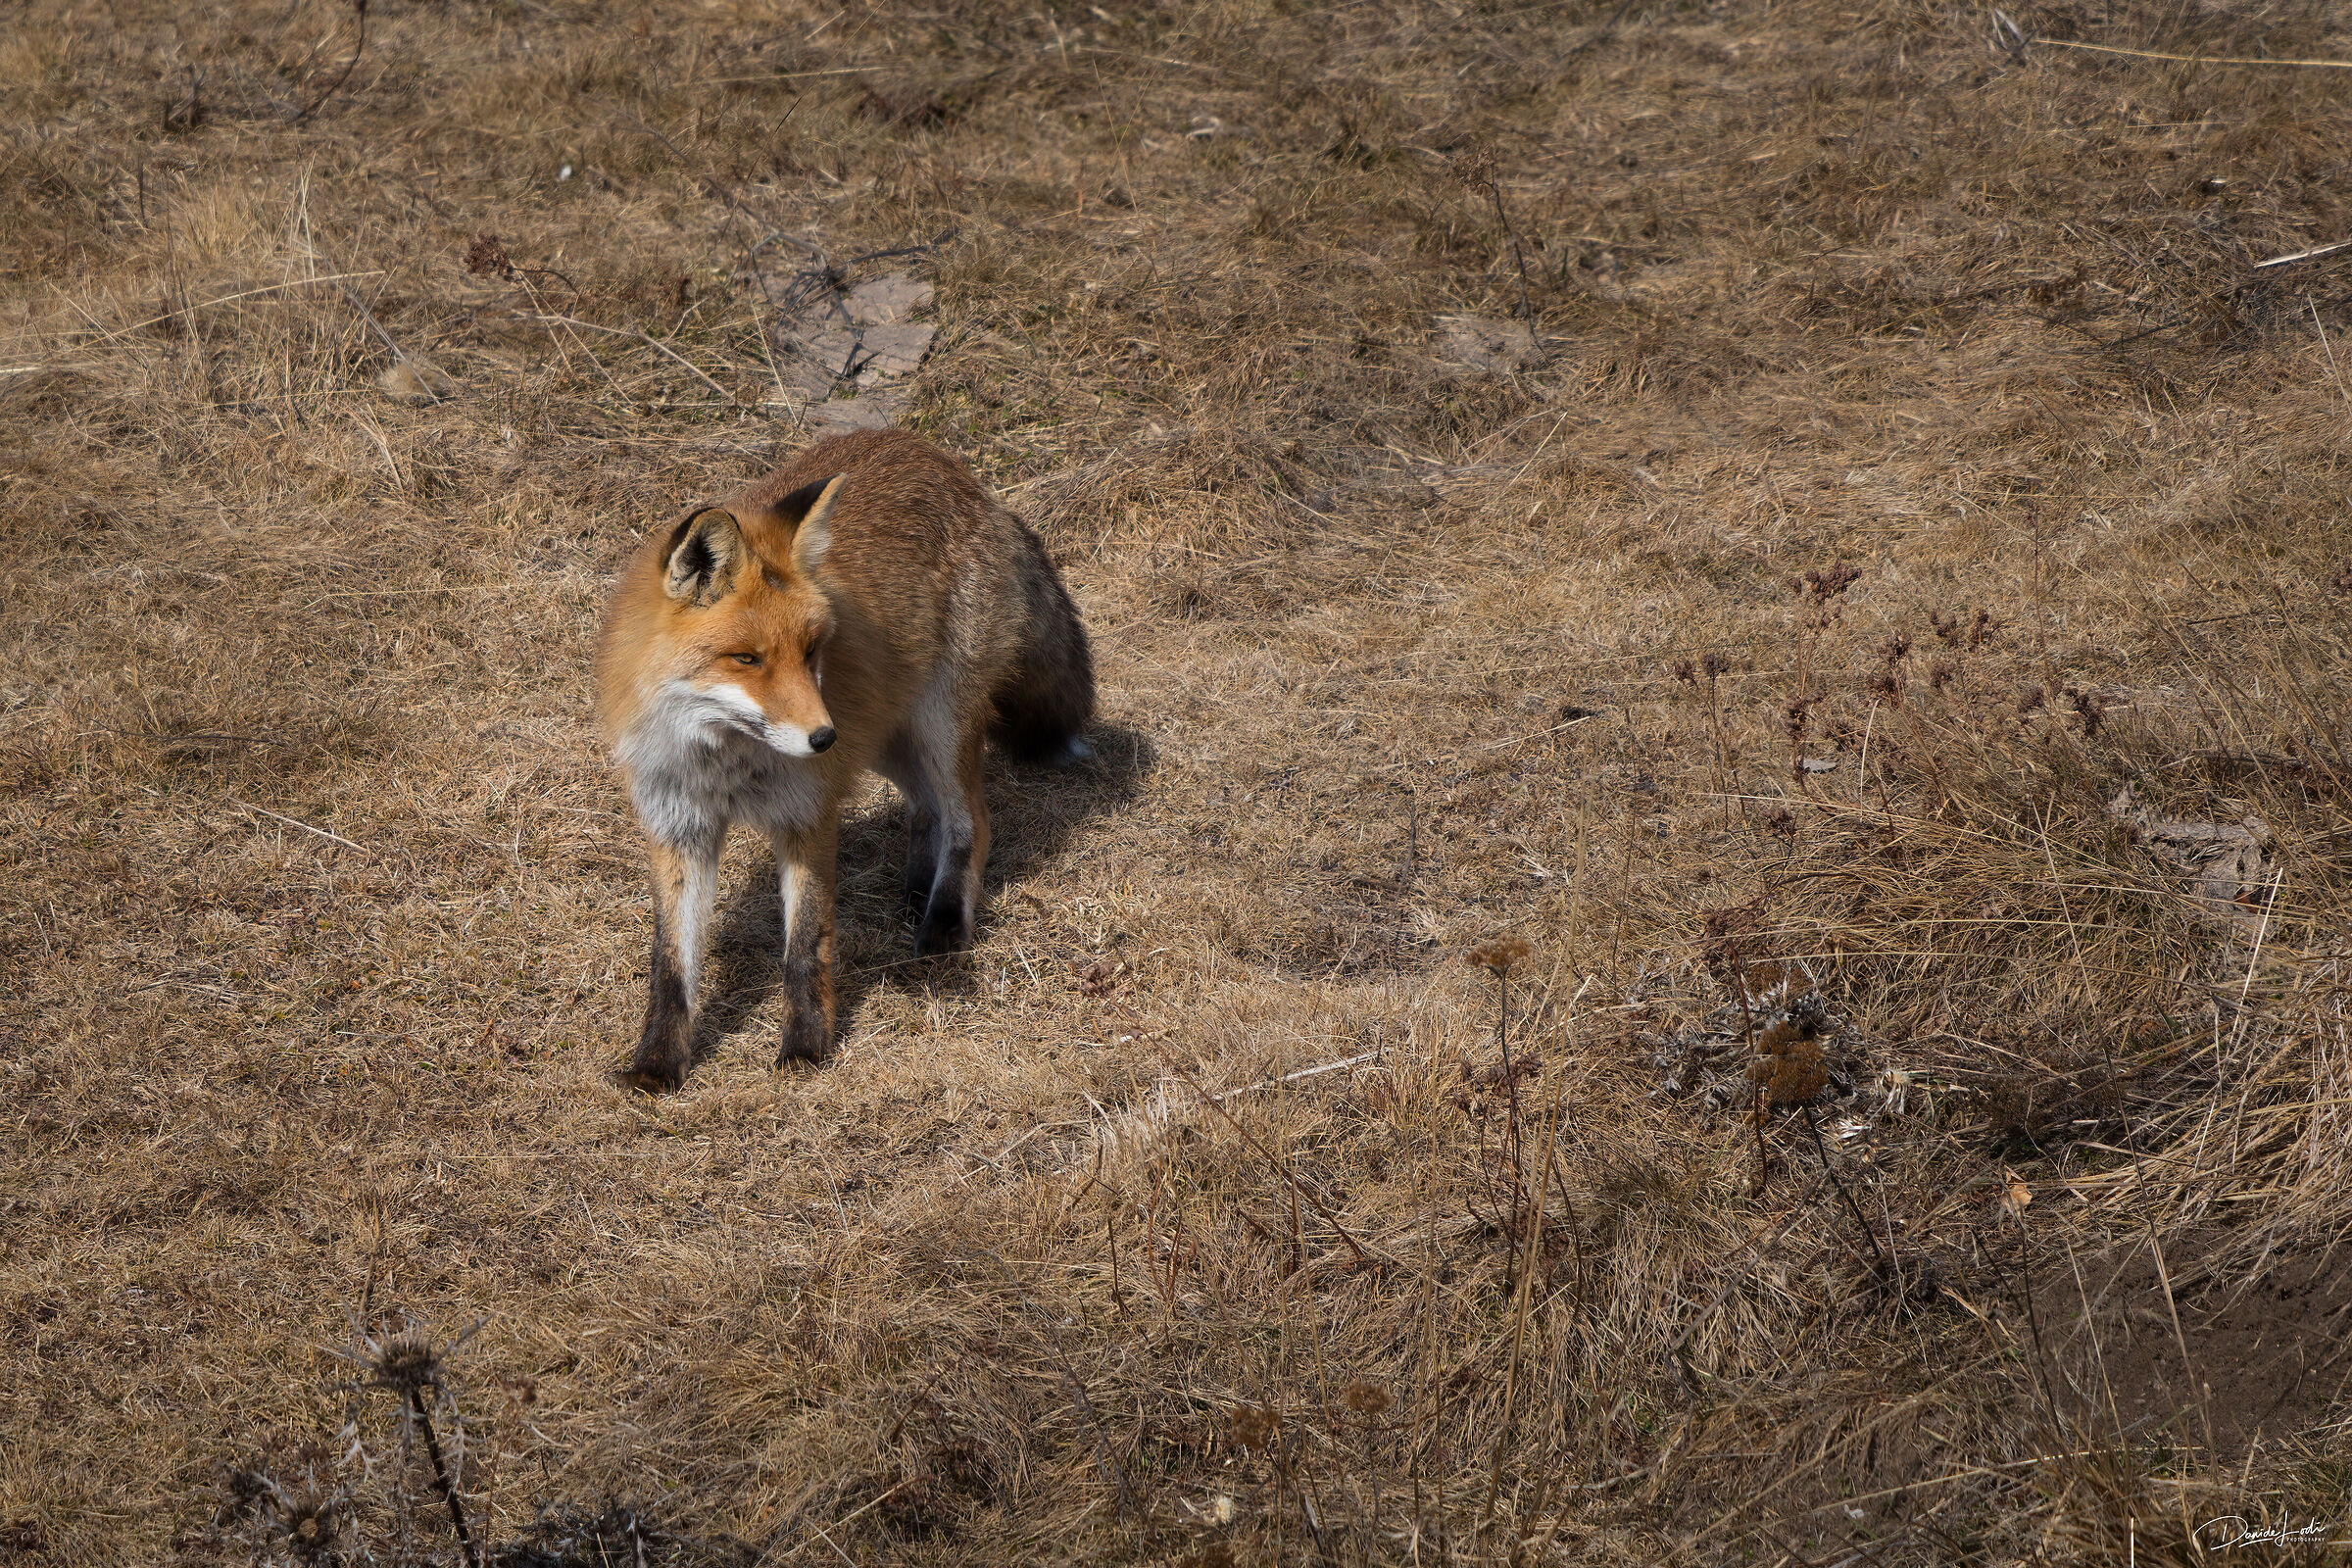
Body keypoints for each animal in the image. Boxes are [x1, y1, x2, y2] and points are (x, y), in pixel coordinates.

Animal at [594, 429, 1095, 1089]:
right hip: (886, 737)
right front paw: (657, 1064)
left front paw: (806, 1049)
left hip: (937, 724)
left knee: (972, 820)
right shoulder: (680, 826)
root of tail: (958, 473)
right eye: (747, 659)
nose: (822, 739)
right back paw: (916, 891)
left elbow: (806, 946)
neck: (727, 764)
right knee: (926, 807)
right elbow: (673, 965)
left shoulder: (808, 814)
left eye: (811, 651)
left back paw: (942, 922)